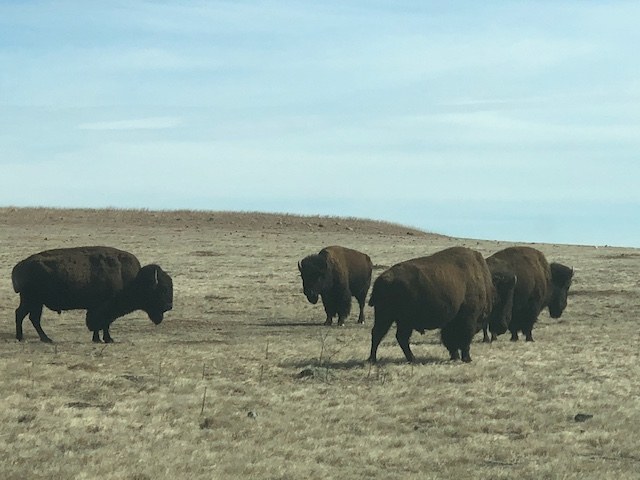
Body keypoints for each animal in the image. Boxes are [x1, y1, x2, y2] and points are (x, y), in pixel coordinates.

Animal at [12, 246, 173, 343]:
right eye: (163, 289)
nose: (169, 306)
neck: (132, 279)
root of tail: (20, 265)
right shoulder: (103, 307)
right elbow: (102, 322)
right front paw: (106, 339)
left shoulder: (98, 308)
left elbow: (102, 323)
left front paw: (100, 339)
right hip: (32, 300)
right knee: (24, 315)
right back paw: (28, 338)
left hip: (35, 302)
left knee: (29, 317)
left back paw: (42, 338)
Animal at [368, 246, 516, 363]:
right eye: (501, 299)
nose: (503, 326)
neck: (487, 284)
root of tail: (383, 279)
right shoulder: (468, 319)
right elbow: (464, 339)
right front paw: (467, 358)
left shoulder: (451, 321)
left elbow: (451, 339)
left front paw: (455, 357)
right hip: (392, 317)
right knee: (385, 335)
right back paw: (379, 359)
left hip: (394, 318)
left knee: (389, 335)